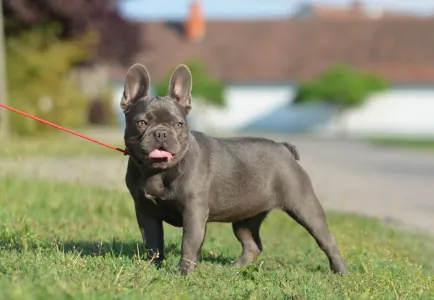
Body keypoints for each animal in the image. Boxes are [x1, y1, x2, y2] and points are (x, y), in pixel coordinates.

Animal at [122, 62, 350, 274]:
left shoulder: (193, 212)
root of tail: (285, 148)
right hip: (245, 218)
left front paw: (183, 273)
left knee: (327, 240)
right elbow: (152, 242)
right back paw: (233, 269)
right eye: (141, 123)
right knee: (252, 245)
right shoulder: (146, 211)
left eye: (178, 125)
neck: (158, 171)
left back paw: (340, 272)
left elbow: (188, 244)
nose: (161, 133)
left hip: (304, 206)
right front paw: (151, 267)